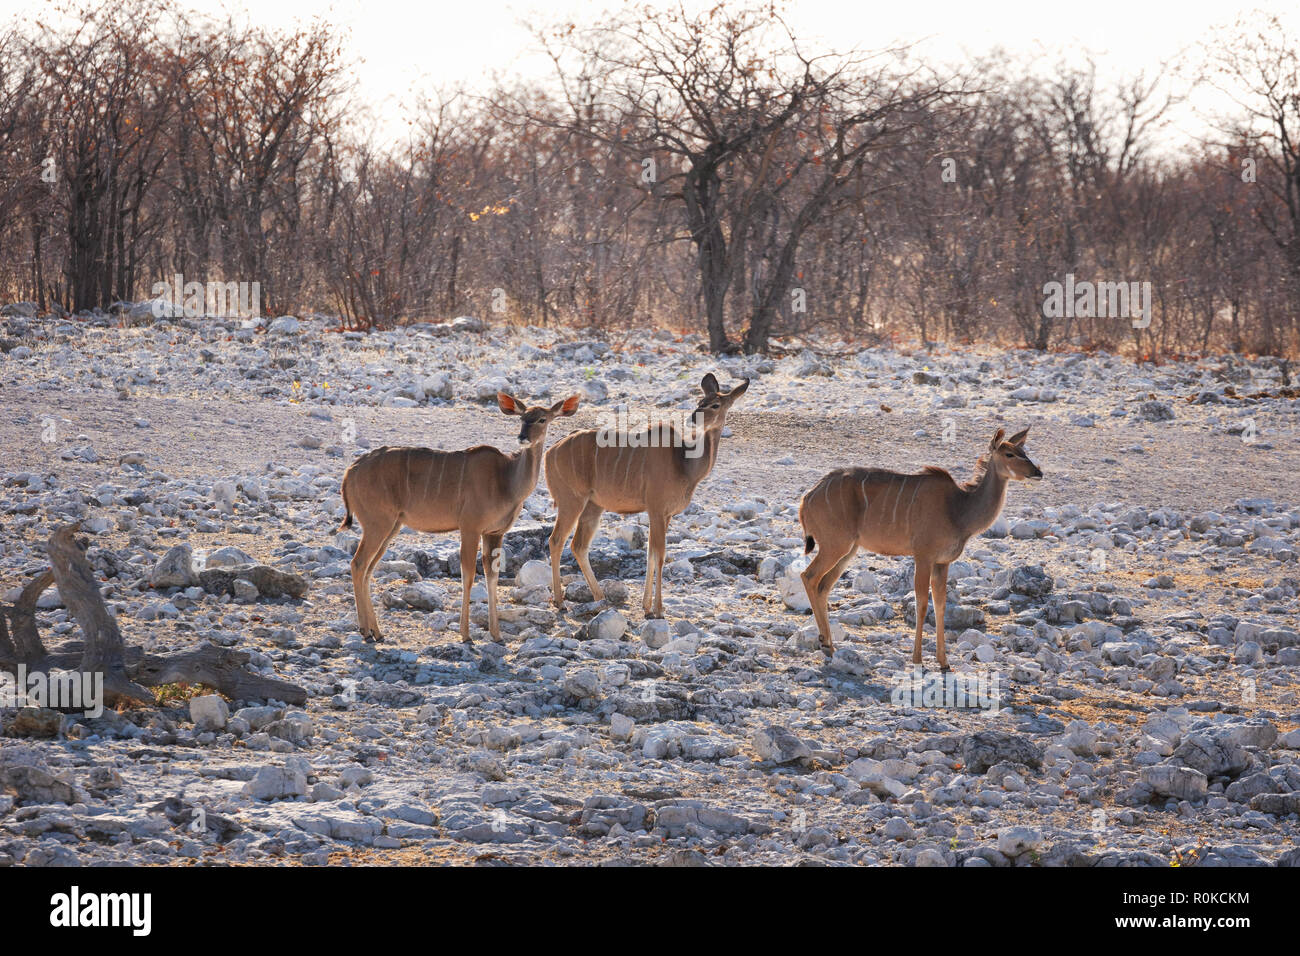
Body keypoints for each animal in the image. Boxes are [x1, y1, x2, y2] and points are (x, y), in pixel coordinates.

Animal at [340, 392, 579, 647]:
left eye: (542, 419)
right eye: (522, 418)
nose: (522, 437)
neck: (505, 479)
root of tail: (350, 472)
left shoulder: (494, 532)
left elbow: (492, 576)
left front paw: (497, 635)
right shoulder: (470, 527)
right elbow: (469, 575)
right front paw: (466, 635)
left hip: (391, 526)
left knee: (367, 569)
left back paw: (376, 632)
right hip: (377, 524)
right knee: (358, 564)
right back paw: (366, 631)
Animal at [546, 374, 754, 621]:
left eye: (715, 405)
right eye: (700, 402)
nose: (694, 418)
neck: (684, 462)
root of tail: (550, 451)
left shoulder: (665, 515)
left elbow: (650, 554)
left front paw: (647, 607)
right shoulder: (656, 509)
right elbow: (660, 555)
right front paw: (659, 610)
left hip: (593, 506)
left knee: (578, 545)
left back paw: (600, 598)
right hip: (572, 500)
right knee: (556, 540)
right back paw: (560, 602)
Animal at [795, 429, 1040, 671]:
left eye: (1024, 451)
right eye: (1009, 454)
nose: (1038, 472)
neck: (958, 509)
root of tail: (807, 498)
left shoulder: (942, 562)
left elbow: (940, 604)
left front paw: (944, 662)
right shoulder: (923, 556)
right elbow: (921, 604)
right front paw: (918, 659)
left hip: (848, 550)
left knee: (823, 586)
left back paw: (828, 645)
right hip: (835, 545)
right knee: (808, 576)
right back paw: (825, 643)